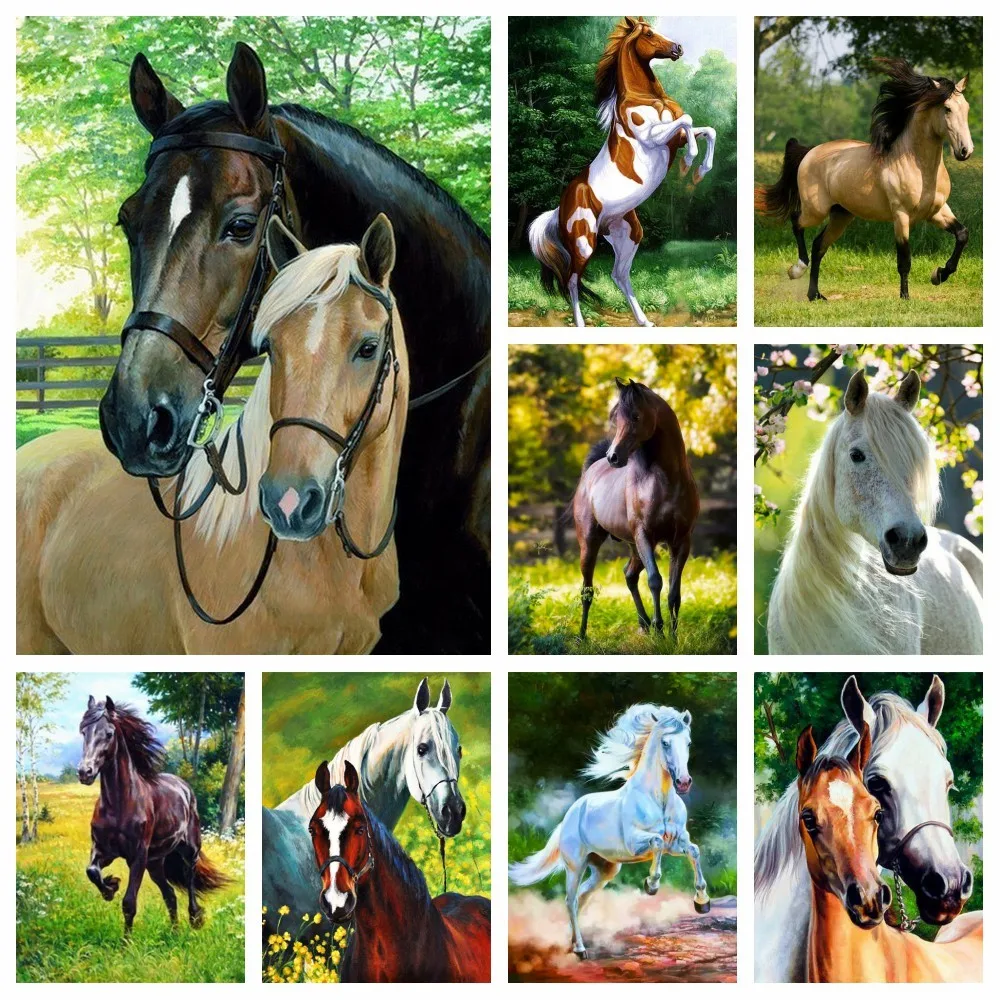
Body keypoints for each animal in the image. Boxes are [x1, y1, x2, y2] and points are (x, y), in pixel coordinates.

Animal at [77, 696, 227, 936]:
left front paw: (126, 943)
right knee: (170, 895)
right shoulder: (103, 850)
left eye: (109, 734)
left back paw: (195, 919)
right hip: (155, 863)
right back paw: (175, 933)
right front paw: (111, 886)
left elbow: (129, 903)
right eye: (84, 731)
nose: (85, 772)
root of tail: (184, 787)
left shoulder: (138, 856)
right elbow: (92, 871)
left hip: (188, 850)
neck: (119, 804)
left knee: (190, 880)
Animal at [508, 704, 709, 960]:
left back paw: (573, 943)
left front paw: (702, 902)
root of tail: (570, 815)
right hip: (575, 866)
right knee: (571, 900)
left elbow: (693, 851)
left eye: (688, 743)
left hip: (604, 870)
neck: (658, 799)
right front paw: (651, 885)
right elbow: (656, 843)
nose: (683, 782)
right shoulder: (636, 842)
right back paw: (580, 950)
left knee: (581, 899)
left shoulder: (677, 841)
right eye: (665, 743)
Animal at [529, 16, 716, 327]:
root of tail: (559, 210)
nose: (677, 48)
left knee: (618, 275)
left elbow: (705, 129)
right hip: (584, 243)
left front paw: (699, 171)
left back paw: (644, 321)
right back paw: (581, 324)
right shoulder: (653, 137)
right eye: (649, 33)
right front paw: (688, 163)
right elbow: (688, 122)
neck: (647, 97)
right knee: (572, 280)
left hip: (628, 235)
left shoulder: (672, 139)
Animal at [572, 377, 699, 639]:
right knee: (587, 590)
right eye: (615, 418)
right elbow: (655, 580)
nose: (613, 456)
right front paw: (660, 631)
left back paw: (644, 623)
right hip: (591, 544)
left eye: (636, 416)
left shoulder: (681, 540)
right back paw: (581, 636)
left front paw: (672, 637)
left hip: (635, 547)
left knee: (629, 576)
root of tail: (591, 472)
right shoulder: (645, 535)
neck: (666, 480)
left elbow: (674, 592)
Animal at [756, 58, 974, 302]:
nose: (965, 151)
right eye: (947, 108)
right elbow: (904, 261)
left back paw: (816, 295)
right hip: (816, 210)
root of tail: (810, 152)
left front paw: (939, 275)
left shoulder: (937, 211)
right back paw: (797, 270)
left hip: (841, 215)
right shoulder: (901, 216)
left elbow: (962, 235)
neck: (918, 167)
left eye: (966, 107)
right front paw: (905, 297)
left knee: (818, 245)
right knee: (797, 222)